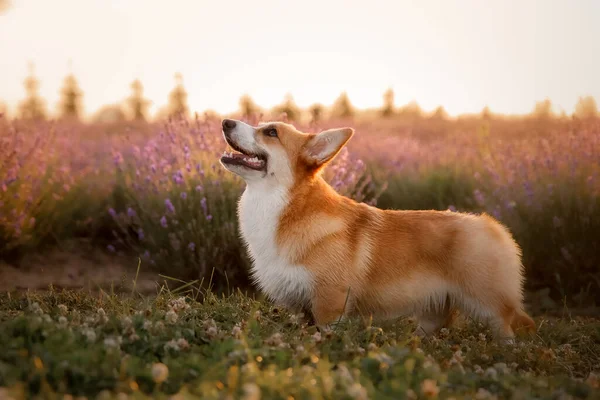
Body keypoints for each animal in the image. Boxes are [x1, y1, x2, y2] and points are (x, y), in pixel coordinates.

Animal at [219, 118, 536, 340]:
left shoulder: (329, 303)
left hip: (489, 305)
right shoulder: (297, 305)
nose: (225, 122)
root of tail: (491, 224)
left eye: (271, 132)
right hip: (433, 311)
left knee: (508, 329)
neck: (284, 207)